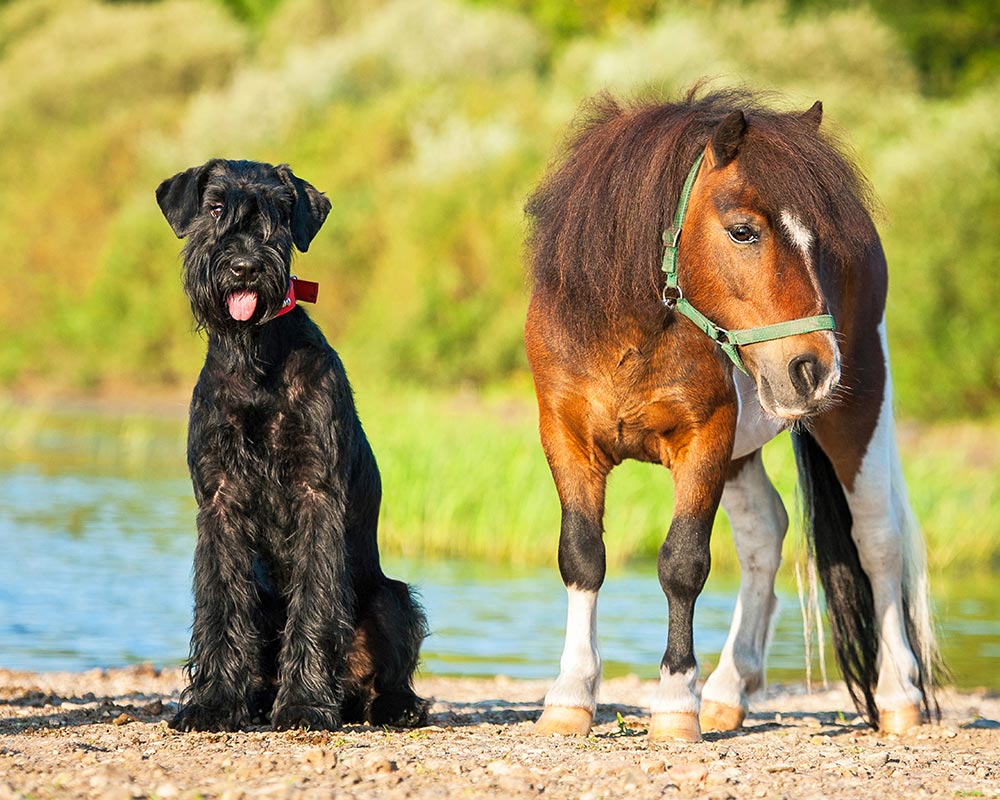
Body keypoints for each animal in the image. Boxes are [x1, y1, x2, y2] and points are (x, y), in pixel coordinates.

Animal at [155, 156, 426, 732]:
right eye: (216, 208)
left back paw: (392, 706)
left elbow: (315, 602)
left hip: (391, 600)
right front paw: (214, 702)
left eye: (279, 215)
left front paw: (303, 703)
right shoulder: (220, 498)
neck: (256, 358)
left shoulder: (315, 494)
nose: (244, 267)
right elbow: (221, 603)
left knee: (389, 669)